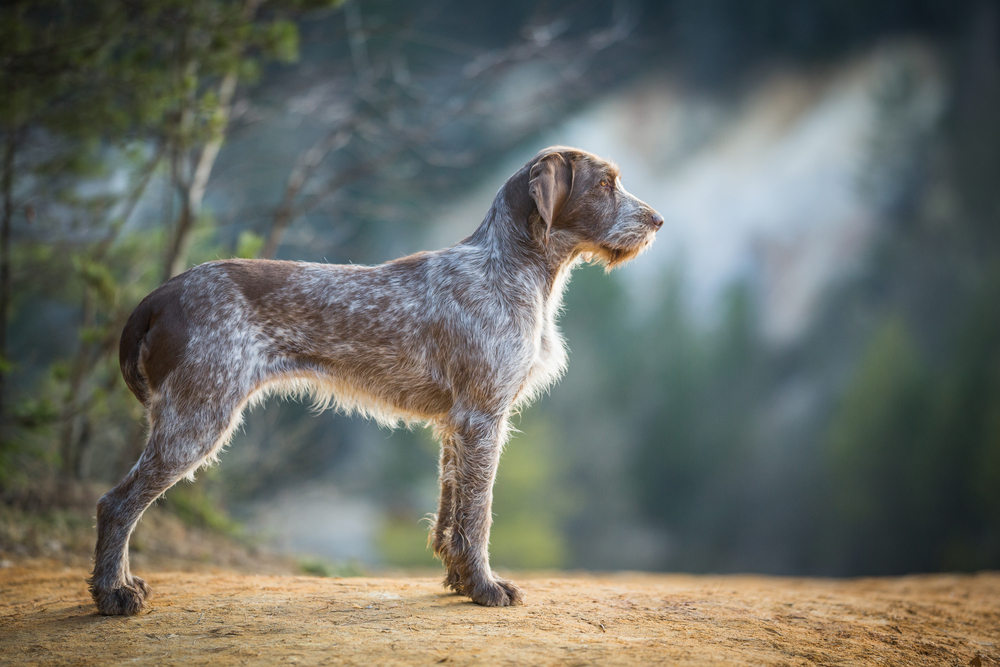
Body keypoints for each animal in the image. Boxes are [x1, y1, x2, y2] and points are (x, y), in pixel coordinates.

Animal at [90, 146, 660, 616]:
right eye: (604, 184)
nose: (657, 220)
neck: (510, 266)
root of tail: (161, 295)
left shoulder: (457, 426)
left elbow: (451, 512)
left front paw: (460, 581)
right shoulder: (483, 417)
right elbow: (479, 515)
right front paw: (485, 587)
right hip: (196, 419)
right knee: (115, 503)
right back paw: (113, 593)